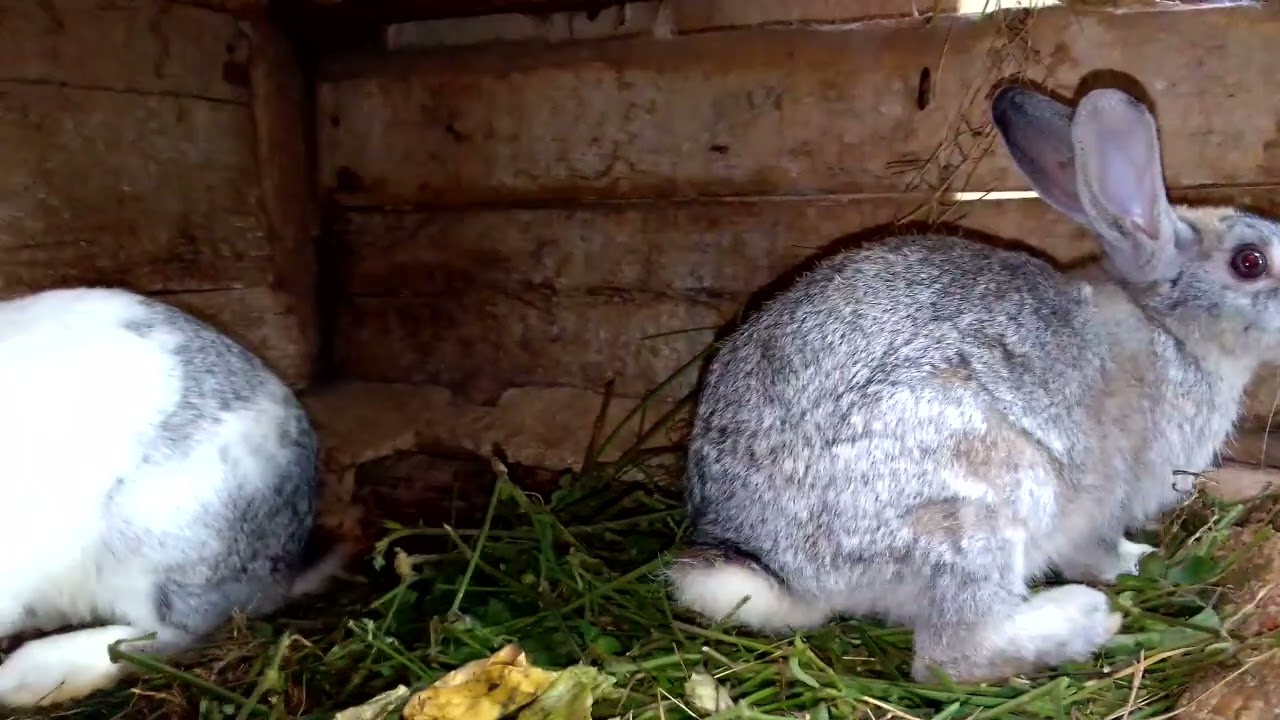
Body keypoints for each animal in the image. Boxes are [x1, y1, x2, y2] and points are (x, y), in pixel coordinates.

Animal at [665, 83, 1280, 683]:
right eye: (1250, 262)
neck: (1169, 329)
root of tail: (780, 568)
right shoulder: (1106, 499)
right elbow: (1098, 549)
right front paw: (1134, 560)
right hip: (980, 502)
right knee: (951, 656)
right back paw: (1084, 618)